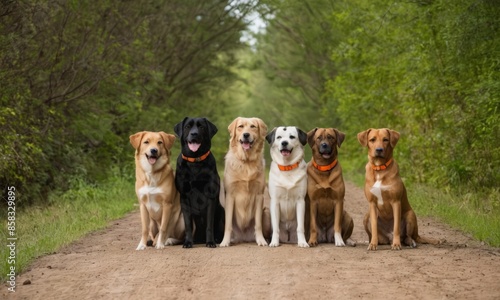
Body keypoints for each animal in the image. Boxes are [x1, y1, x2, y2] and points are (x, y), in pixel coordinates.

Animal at [174, 117, 225, 248]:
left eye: (201, 127)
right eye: (187, 126)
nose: (194, 134)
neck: (195, 161)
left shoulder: (210, 196)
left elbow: (209, 224)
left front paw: (210, 242)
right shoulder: (184, 197)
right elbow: (188, 224)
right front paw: (188, 242)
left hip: (222, 211)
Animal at [220, 116, 272, 246]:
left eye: (253, 126)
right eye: (240, 127)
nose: (246, 135)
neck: (246, 162)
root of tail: (244, 238)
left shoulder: (259, 195)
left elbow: (258, 224)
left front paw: (261, 240)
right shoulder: (230, 195)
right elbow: (228, 225)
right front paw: (225, 242)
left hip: (266, 213)